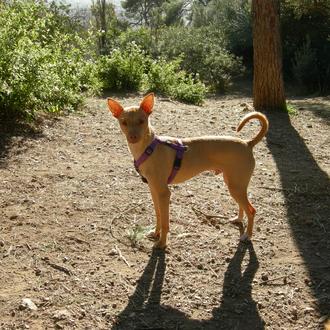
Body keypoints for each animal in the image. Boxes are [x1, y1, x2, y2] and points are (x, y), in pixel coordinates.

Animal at [107, 92, 268, 248]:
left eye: (142, 121)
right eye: (124, 122)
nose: (133, 137)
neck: (149, 148)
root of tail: (248, 143)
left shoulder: (164, 193)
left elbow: (165, 222)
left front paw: (162, 243)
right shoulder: (153, 189)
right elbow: (158, 215)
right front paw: (155, 232)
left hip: (236, 186)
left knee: (251, 210)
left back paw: (247, 235)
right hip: (233, 184)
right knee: (243, 206)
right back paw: (238, 219)